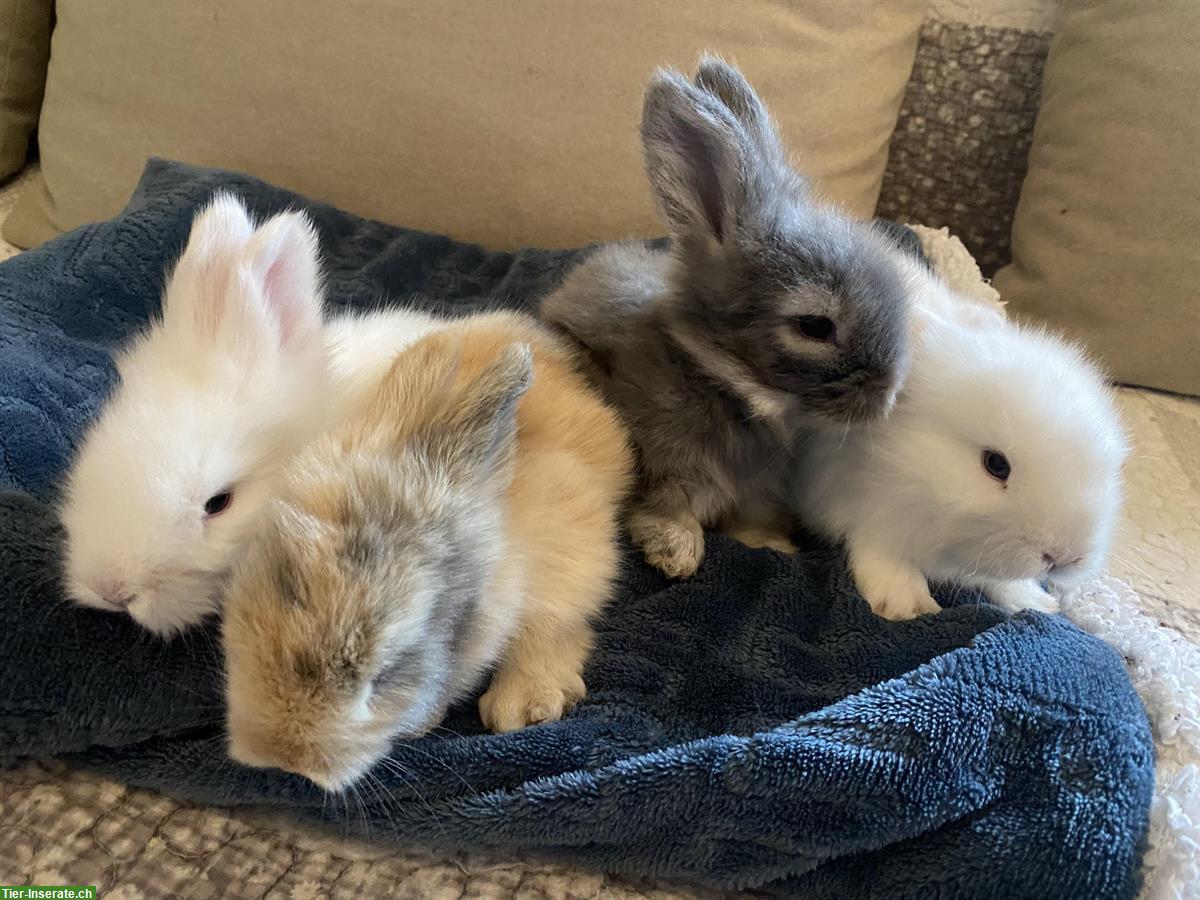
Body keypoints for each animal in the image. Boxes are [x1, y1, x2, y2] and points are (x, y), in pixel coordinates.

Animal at [222, 312, 634, 790]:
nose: (284, 759)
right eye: (282, 585)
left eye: (386, 673)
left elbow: (548, 634)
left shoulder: (571, 570)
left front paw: (525, 709)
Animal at [540, 58, 911, 579]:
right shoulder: (665, 467)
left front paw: (774, 546)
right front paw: (675, 553)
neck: (727, 382)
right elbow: (665, 507)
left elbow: (754, 524)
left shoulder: (758, 493)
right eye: (815, 326)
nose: (887, 396)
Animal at [791, 250, 1129, 620]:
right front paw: (906, 605)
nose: (1062, 557)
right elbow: (877, 547)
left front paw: (1036, 602)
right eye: (995, 464)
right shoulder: (852, 501)